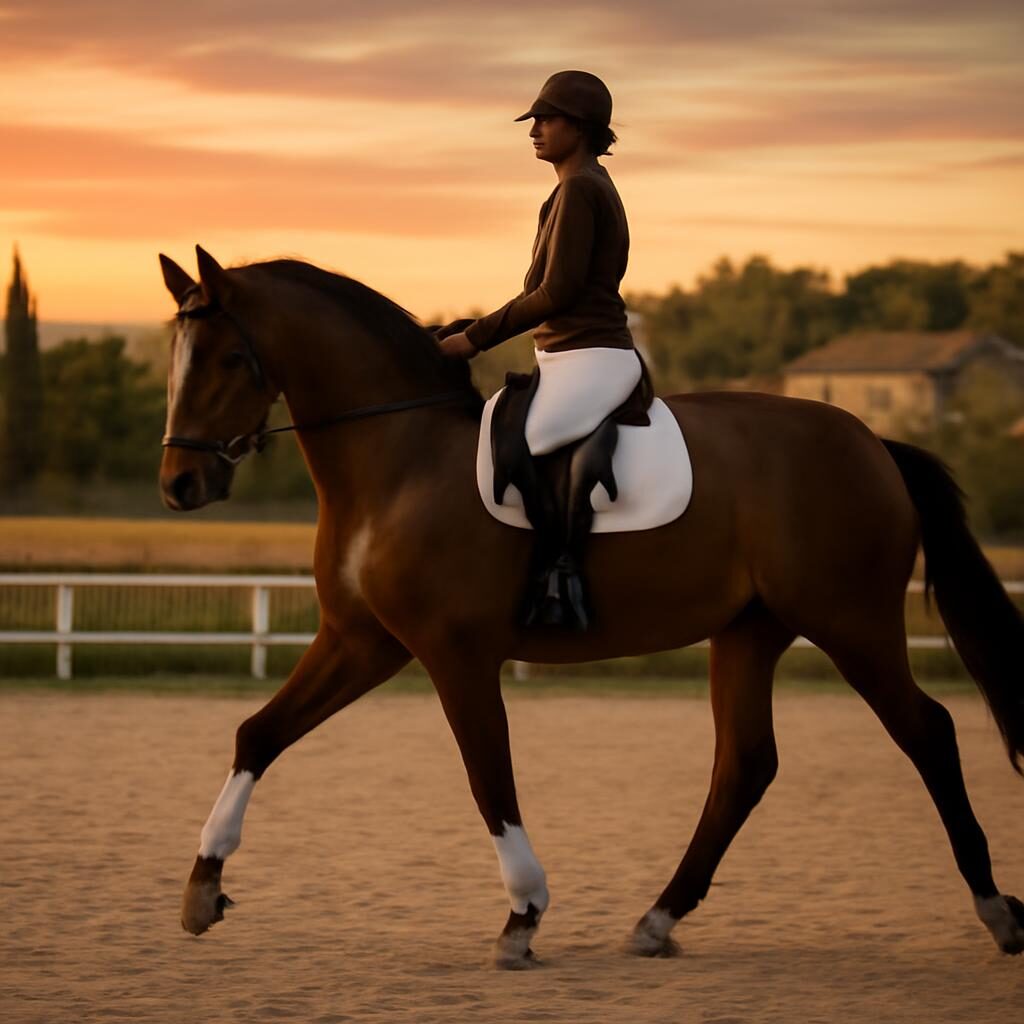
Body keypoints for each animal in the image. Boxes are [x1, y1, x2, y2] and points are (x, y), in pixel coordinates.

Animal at [158, 246, 1024, 968]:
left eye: (230, 357)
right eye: (175, 359)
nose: (179, 486)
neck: (398, 460)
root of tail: (874, 442)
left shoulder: (452, 653)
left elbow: (488, 777)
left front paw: (523, 917)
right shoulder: (360, 640)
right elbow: (259, 733)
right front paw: (203, 889)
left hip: (852, 622)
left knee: (928, 733)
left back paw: (997, 912)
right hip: (751, 631)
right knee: (745, 764)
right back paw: (657, 920)